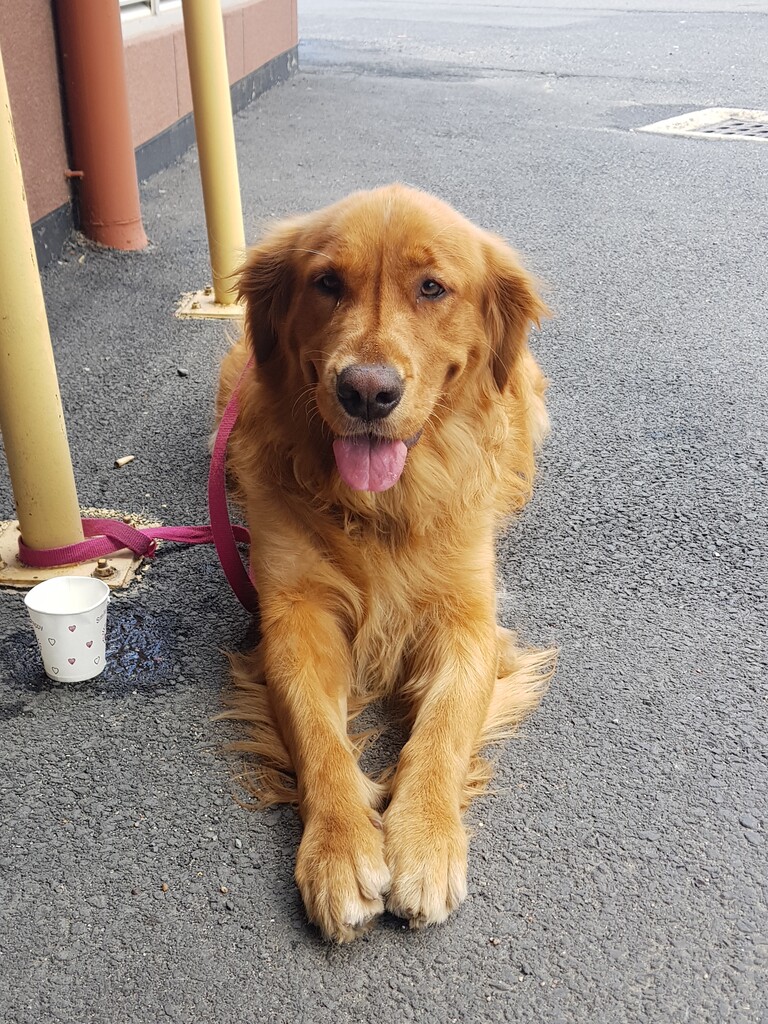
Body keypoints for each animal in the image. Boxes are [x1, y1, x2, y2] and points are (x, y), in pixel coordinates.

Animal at [216, 184, 556, 942]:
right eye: (326, 283)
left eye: (432, 288)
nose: (367, 391)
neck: (379, 508)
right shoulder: (294, 614)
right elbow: (317, 733)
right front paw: (342, 848)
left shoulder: (468, 619)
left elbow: (444, 728)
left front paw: (425, 840)